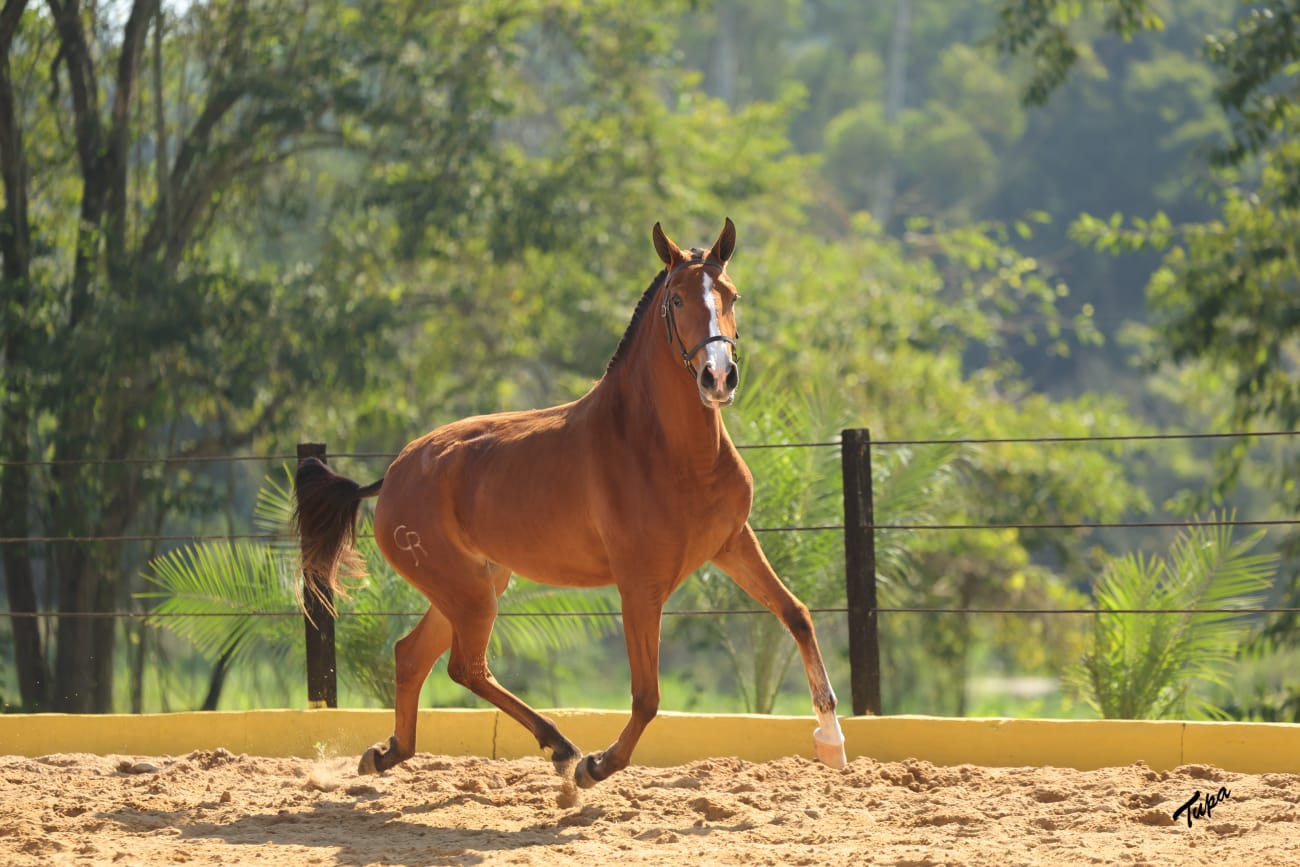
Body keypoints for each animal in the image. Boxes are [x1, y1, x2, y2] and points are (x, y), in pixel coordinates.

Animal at [294, 218, 848, 790]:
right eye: (675, 299)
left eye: (732, 294)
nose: (718, 378)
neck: (667, 450)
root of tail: (395, 472)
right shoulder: (640, 585)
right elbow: (647, 697)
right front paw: (597, 766)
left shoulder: (733, 543)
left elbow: (797, 614)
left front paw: (832, 742)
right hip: (468, 593)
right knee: (463, 667)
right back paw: (561, 748)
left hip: (474, 584)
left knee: (412, 657)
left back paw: (388, 753)